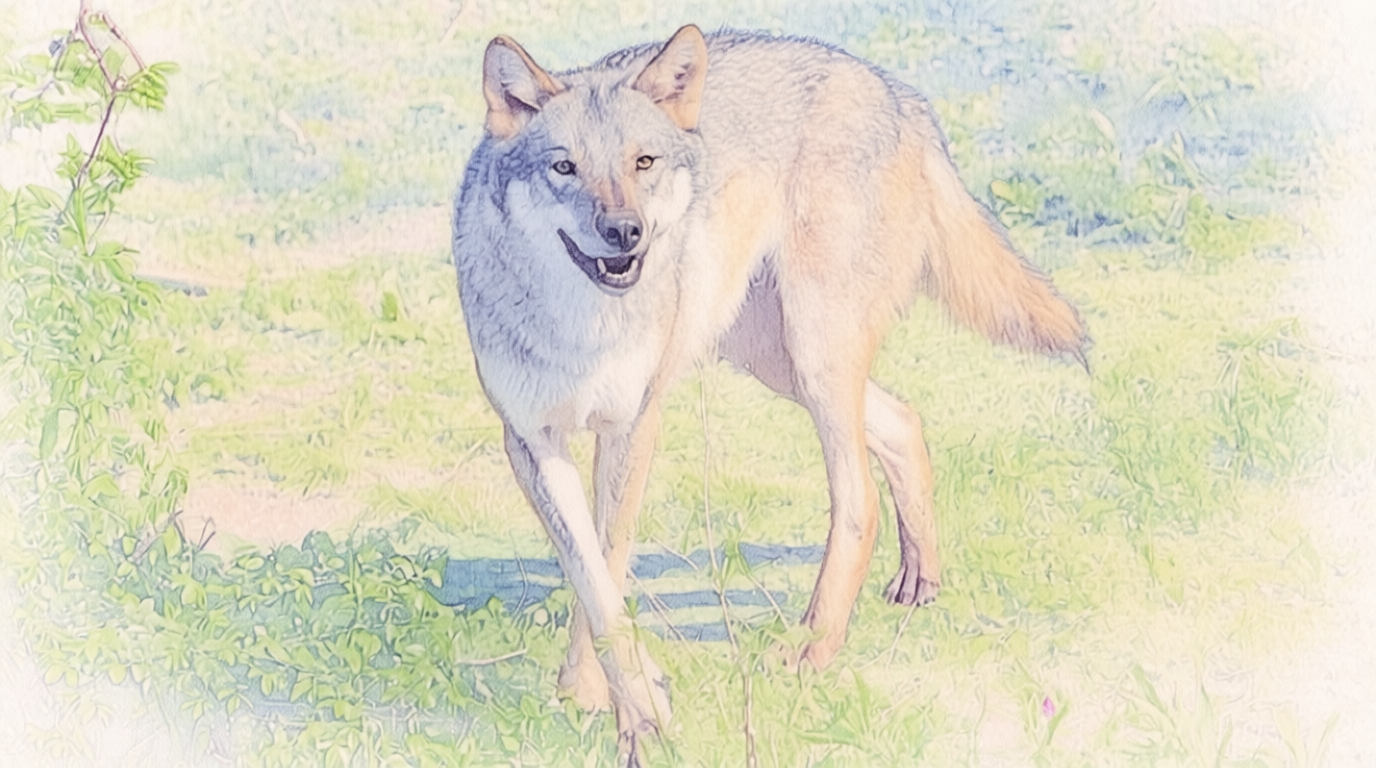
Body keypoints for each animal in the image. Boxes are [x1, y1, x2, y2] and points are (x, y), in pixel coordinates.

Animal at [451, 24, 1086, 761]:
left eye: (642, 162)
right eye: (564, 168)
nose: (625, 232)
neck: (580, 325)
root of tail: (898, 94)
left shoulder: (634, 423)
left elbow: (608, 566)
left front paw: (631, 714)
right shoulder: (531, 444)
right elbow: (592, 577)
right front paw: (597, 697)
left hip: (814, 354)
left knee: (858, 498)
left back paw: (810, 648)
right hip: (777, 361)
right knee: (903, 420)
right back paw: (919, 581)